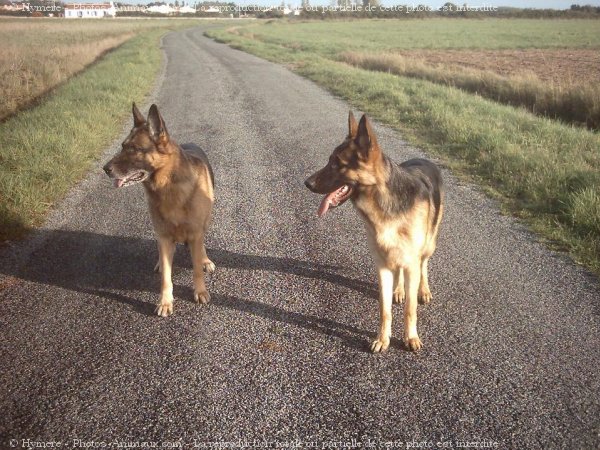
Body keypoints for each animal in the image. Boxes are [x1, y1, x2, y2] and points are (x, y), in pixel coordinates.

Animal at [103, 104, 216, 318]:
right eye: (122, 146)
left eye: (134, 149)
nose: (105, 169)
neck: (168, 186)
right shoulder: (163, 237)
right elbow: (166, 277)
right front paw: (165, 302)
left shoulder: (195, 233)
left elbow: (196, 268)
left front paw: (200, 291)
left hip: (205, 223)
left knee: (201, 247)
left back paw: (205, 259)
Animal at [304, 111, 440, 352]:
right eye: (329, 161)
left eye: (337, 164)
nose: (306, 183)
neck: (384, 204)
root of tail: (425, 160)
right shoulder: (382, 266)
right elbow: (384, 309)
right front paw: (382, 339)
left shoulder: (411, 262)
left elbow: (410, 309)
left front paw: (410, 337)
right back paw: (399, 290)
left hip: (428, 245)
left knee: (424, 265)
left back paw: (423, 290)